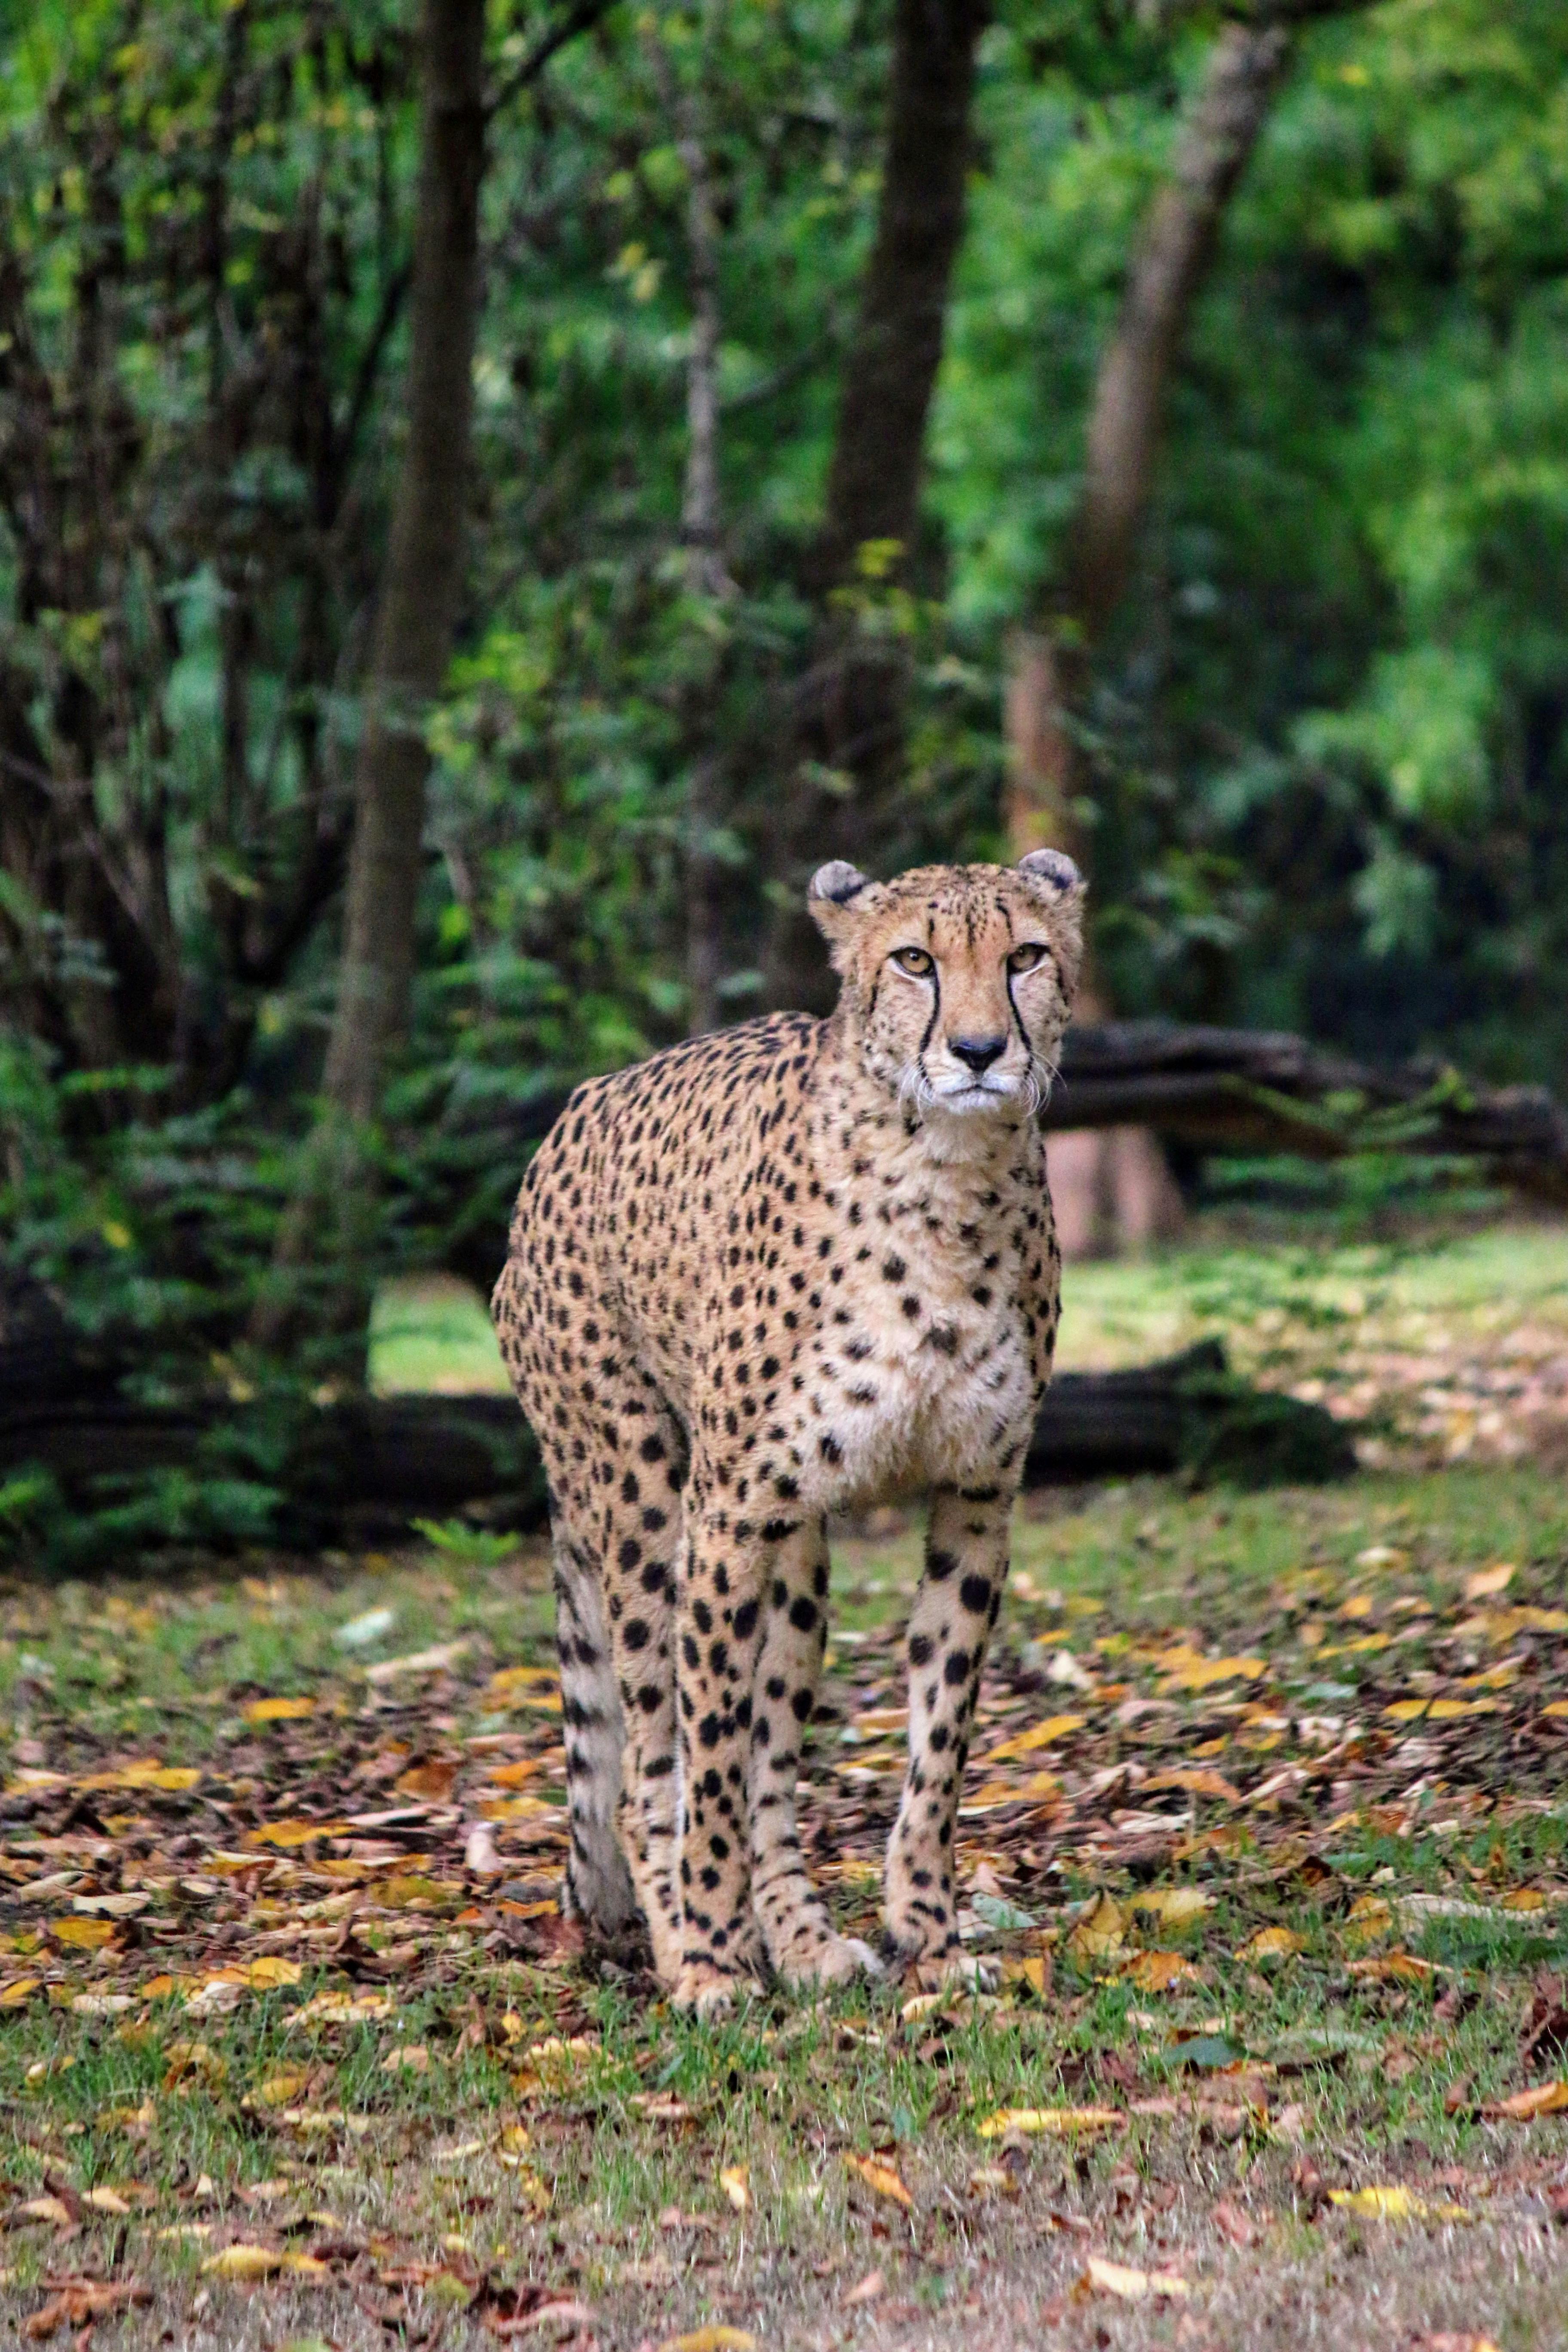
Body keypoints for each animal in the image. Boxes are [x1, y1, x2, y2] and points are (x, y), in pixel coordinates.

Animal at [491, 850, 1084, 2015]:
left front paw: (928, 1940)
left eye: (1027, 955)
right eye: (914, 960)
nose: (980, 1050)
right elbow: (710, 1755)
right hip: (640, 1492)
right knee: (650, 1765)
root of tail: (575, 1110)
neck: (947, 1181)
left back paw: (804, 1942)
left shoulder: (977, 1498)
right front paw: (715, 1963)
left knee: (771, 1754)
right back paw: (689, 1938)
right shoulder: (725, 1512)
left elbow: (936, 1740)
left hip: (798, 1546)